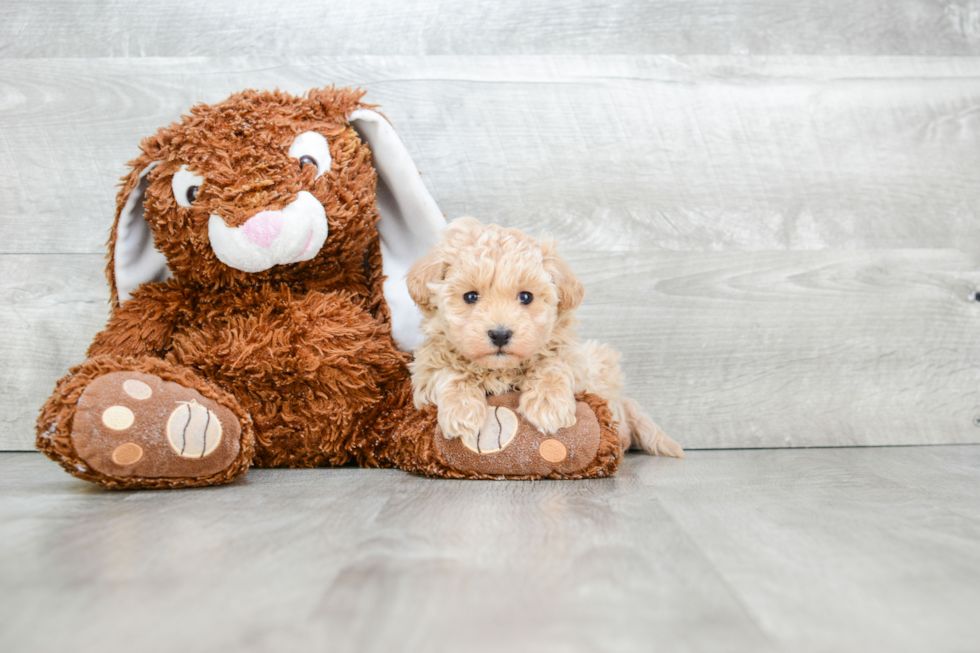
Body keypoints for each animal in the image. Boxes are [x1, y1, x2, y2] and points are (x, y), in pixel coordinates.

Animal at [404, 219, 680, 458]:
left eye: (526, 297)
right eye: (470, 297)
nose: (500, 334)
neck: (500, 371)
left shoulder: (574, 362)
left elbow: (552, 364)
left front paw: (548, 405)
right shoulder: (426, 367)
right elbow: (449, 372)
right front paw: (462, 411)